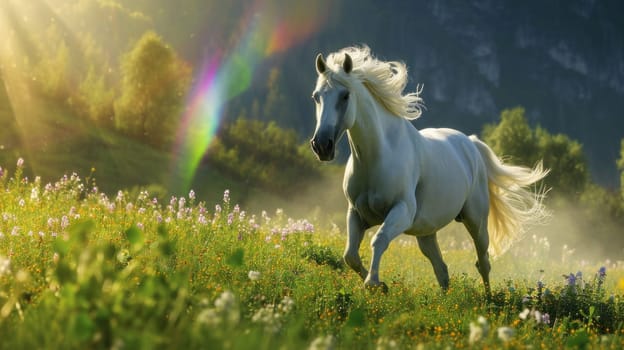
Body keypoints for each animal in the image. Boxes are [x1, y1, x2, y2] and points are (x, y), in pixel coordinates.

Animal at [310, 45, 548, 296]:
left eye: (345, 96)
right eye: (316, 96)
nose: (322, 146)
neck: (377, 157)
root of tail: (471, 143)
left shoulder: (402, 211)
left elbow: (379, 240)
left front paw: (374, 283)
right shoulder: (356, 214)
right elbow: (350, 256)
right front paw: (379, 285)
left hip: (476, 221)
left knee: (483, 262)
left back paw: (489, 298)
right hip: (426, 232)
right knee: (441, 269)